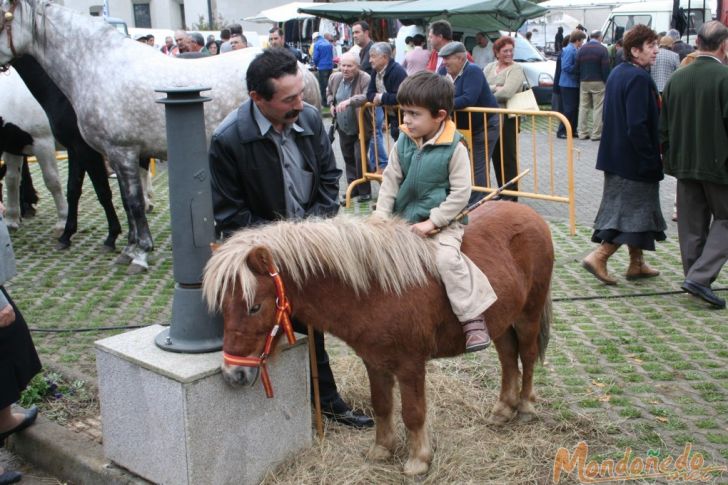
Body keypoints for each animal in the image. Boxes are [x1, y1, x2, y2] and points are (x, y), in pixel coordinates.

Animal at [0, 67, 67, 233]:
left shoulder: (43, 143)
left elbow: (52, 181)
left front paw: (63, 221)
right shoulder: (13, 146)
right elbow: (12, 180)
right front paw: (11, 220)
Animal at [202, 201, 556, 476]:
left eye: (254, 307)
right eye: (222, 306)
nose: (233, 374)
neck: (376, 291)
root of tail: (531, 214)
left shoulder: (411, 365)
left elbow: (413, 412)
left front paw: (418, 461)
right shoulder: (374, 361)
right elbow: (381, 404)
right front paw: (382, 449)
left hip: (527, 315)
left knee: (526, 356)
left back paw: (525, 407)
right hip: (502, 320)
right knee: (508, 358)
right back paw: (503, 410)